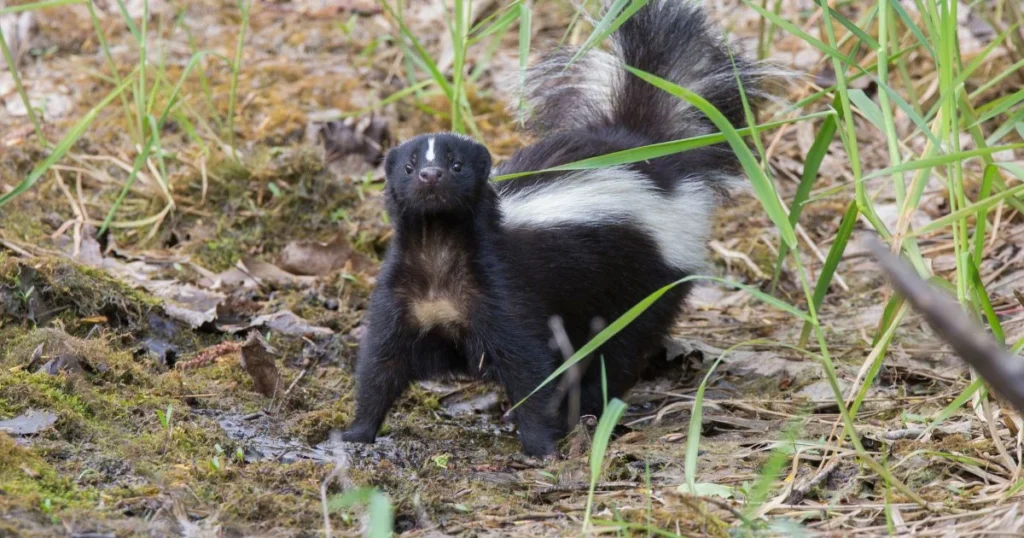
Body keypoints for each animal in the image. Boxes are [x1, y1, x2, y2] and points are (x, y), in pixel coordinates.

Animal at [342, 0, 770, 454]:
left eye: (456, 165)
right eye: (408, 167)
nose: (430, 176)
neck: (439, 246)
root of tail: (644, 149)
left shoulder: (504, 295)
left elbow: (528, 367)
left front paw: (538, 445)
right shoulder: (402, 298)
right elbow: (381, 364)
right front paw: (356, 432)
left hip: (644, 280)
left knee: (619, 348)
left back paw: (591, 407)